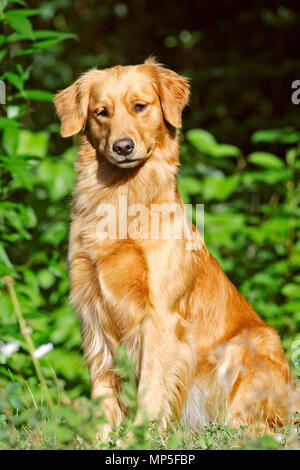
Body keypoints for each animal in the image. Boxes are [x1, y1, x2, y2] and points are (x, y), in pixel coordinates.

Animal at [54, 57, 300, 436]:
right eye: (101, 112)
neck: (123, 198)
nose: (122, 147)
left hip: (247, 345)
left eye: (140, 106)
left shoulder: (161, 315)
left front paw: (138, 437)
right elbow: (103, 388)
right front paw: (102, 438)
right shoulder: (91, 310)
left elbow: (152, 386)